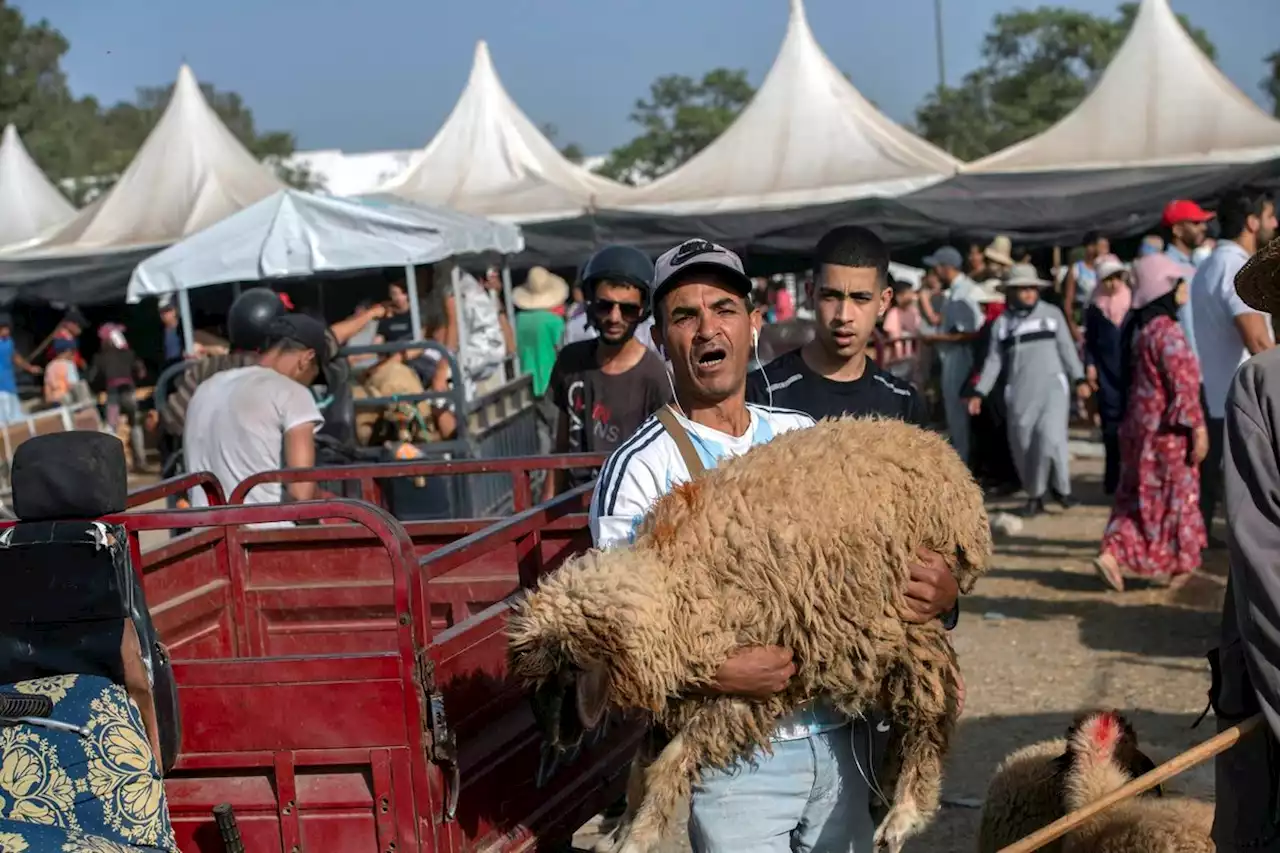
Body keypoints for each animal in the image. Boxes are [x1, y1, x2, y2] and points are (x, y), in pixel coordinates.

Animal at [506, 417, 988, 850]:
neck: (672, 582)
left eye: (565, 679)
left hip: (904, 614)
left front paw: (638, 836)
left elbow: (669, 763)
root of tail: (940, 451)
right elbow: (641, 764)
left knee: (931, 705)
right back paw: (882, 791)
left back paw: (905, 811)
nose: (553, 749)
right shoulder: (685, 685)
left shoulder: (761, 681)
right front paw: (625, 828)